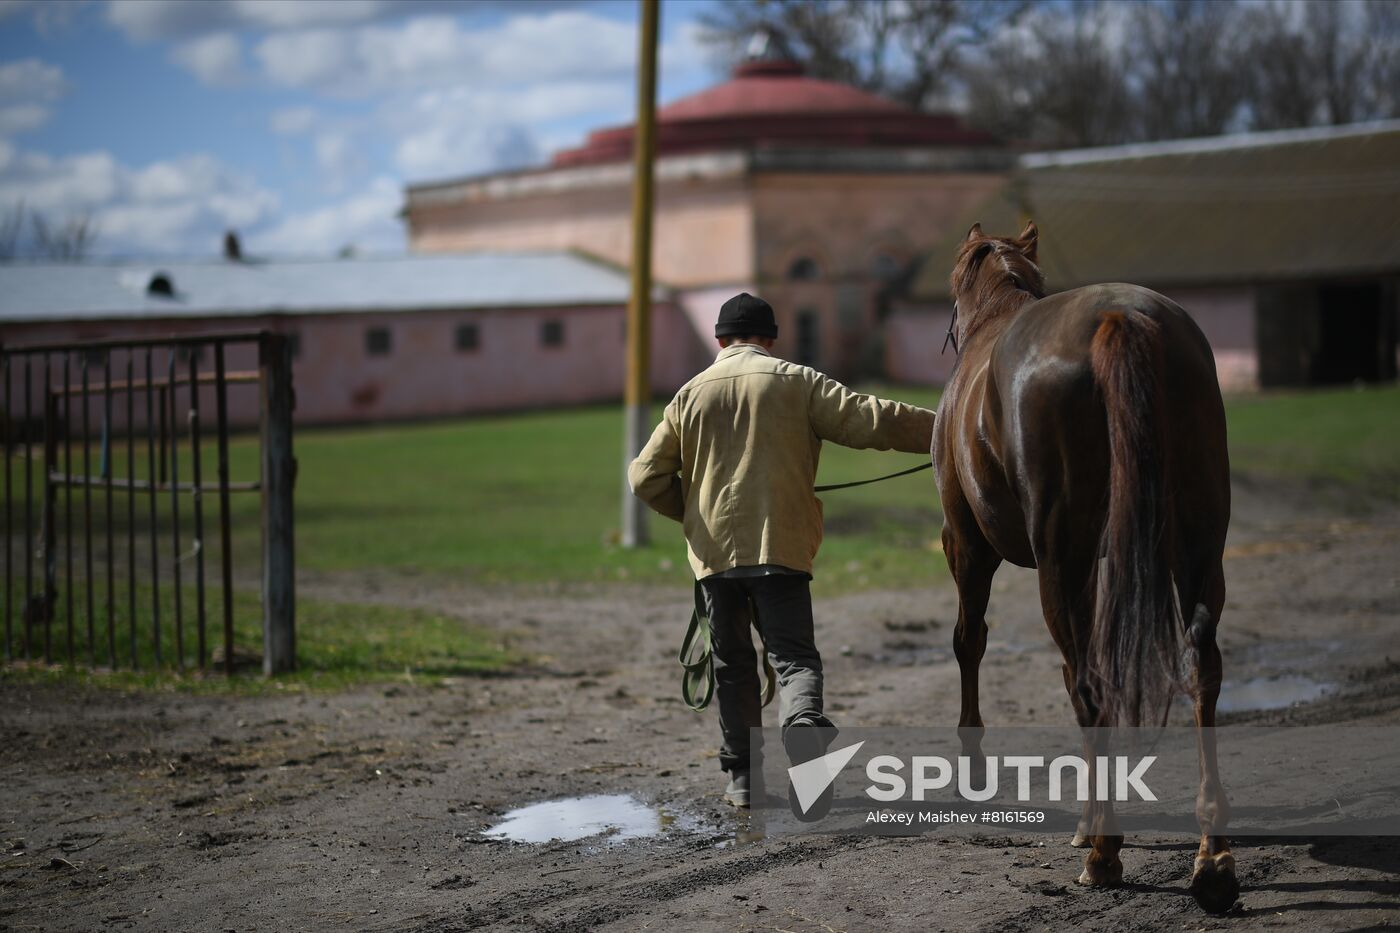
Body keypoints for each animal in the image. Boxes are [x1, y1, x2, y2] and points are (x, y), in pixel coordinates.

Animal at [933, 221, 1237, 912]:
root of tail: (1121, 318)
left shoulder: (968, 544)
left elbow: (970, 642)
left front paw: (974, 768)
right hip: (1196, 543)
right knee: (1199, 667)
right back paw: (1211, 857)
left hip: (1058, 559)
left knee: (1090, 685)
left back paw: (1103, 854)